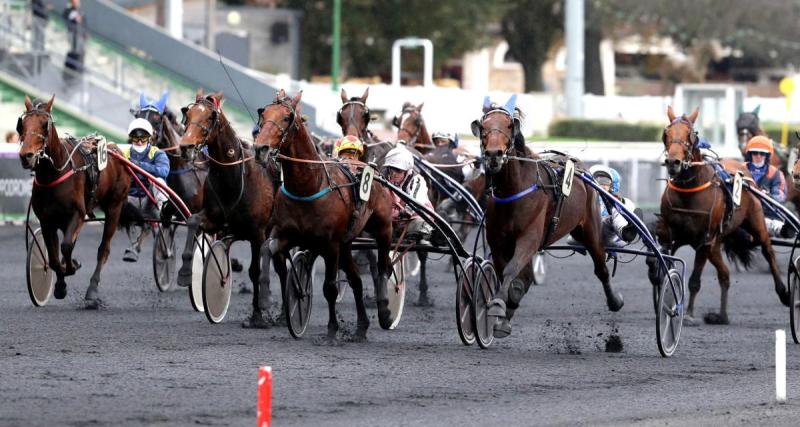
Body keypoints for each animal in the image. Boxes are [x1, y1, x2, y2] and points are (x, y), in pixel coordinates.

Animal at [17, 95, 131, 308]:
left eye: (45, 124)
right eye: (22, 124)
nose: (26, 156)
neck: (54, 174)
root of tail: (116, 150)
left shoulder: (77, 214)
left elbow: (66, 246)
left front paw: (72, 266)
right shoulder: (48, 221)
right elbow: (54, 257)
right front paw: (60, 285)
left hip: (115, 207)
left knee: (103, 249)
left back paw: (92, 290)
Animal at [175, 88, 276, 326]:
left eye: (211, 116)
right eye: (187, 113)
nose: (185, 147)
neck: (233, 178)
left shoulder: (257, 234)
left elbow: (255, 271)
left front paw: (257, 315)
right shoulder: (215, 221)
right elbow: (193, 221)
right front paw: (185, 272)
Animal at [255, 89, 396, 342]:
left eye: (287, 117)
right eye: (264, 113)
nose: (260, 148)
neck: (308, 187)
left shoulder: (329, 245)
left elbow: (330, 287)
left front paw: (331, 331)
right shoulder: (285, 235)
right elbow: (267, 250)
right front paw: (275, 297)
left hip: (382, 228)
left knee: (383, 266)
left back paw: (385, 311)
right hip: (346, 243)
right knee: (356, 280)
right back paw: (361, 327)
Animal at [476, 98, 624, 340]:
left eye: (508, 125)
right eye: (483, 126)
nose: (494, 154)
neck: (514, 190)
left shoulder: (529, 237)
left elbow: (510, 271)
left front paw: (498, 305)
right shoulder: (498, 242)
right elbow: (510, 276)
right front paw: (504, 313)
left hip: (590, 228)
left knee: (601, 268)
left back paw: (615, 301)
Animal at [652, 107, 792, 324]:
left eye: (691, 134)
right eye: (666, 133)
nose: (673, 162)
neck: (689, 192)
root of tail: (744, 169)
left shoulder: (705, 240)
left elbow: (694, 280)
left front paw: (689, 313)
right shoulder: (671, 236)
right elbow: (663, 267)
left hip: (756, 221)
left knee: (768, 251)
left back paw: (784, 293)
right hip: (717, 243)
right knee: (725, 274)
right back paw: (721, 316)